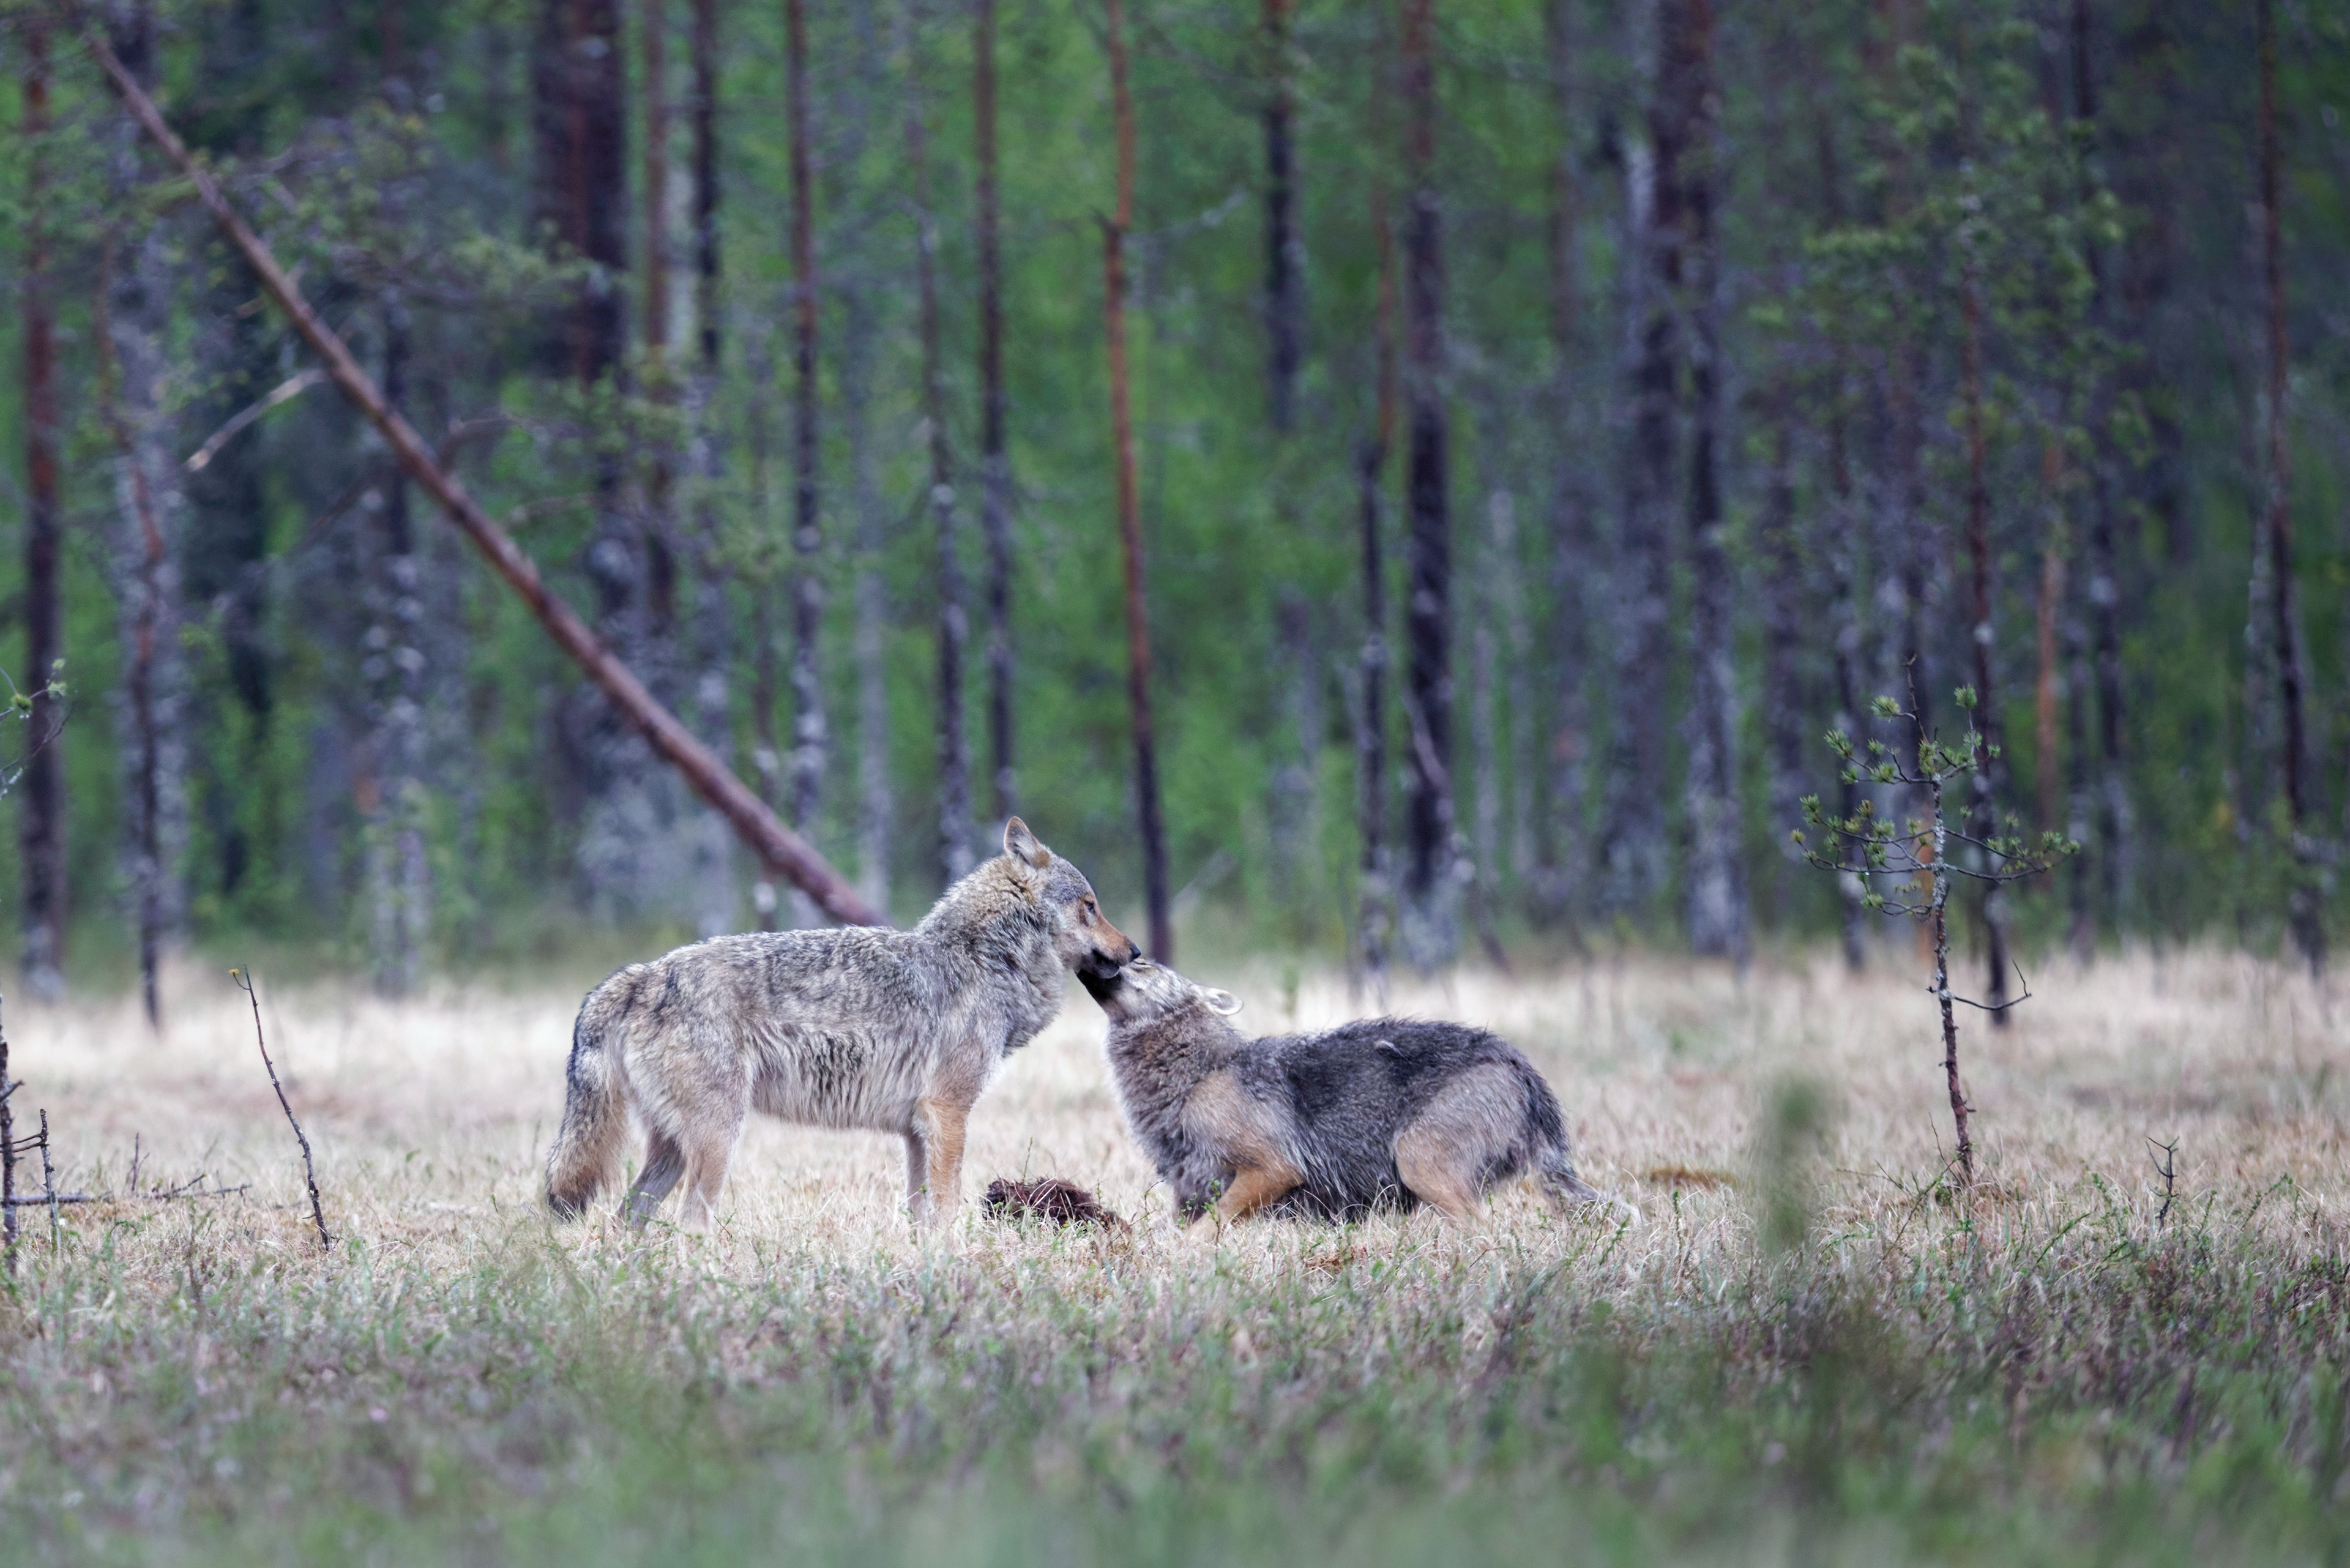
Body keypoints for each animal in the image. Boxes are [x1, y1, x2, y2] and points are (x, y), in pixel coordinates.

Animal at [545, 818, 1139, 1230]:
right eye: (1090, 906)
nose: (1134, 951)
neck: (983, 961)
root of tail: (643, 974)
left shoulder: (917, 1132)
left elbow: (923, 1217)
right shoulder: (947, 1115)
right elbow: (947, 1211)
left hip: (671, 1152)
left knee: (624, 1223)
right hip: (716, 1143)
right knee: (690, 1224)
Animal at [1079, 958, 1631, 1227]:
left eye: (1143, 965)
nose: (1104, 954)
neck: (1197, 1075)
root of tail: (1520, 1065)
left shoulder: (1275, 1168)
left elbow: (1205, 1232)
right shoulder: (1186, 1194)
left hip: (1419, 1164)